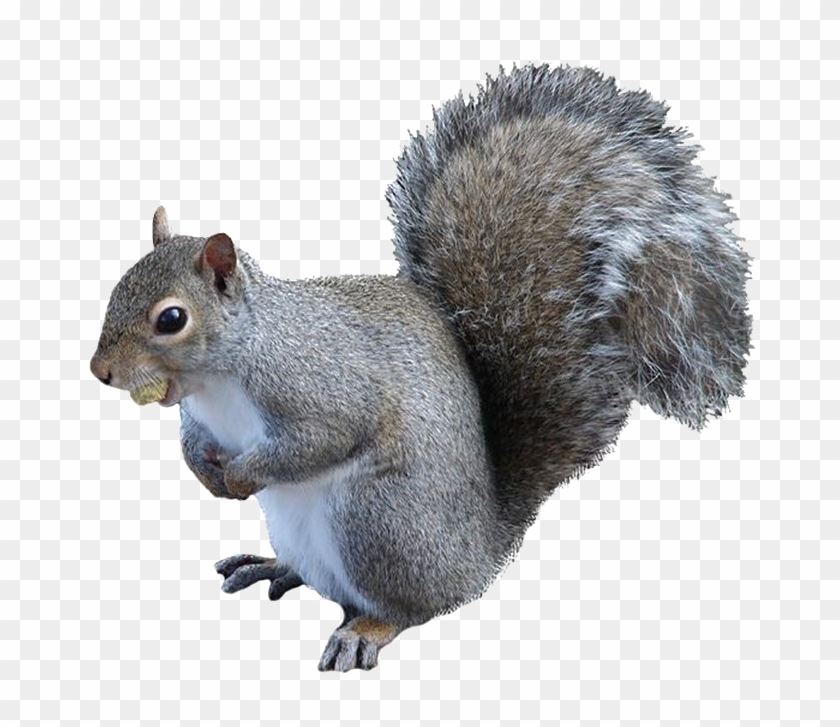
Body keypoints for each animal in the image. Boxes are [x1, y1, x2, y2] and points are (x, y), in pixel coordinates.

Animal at [90, 65, 751, 672]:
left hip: (377, 520)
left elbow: (321, 439)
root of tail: (482, 550)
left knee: (411, 608)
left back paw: (366, 628)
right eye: (117, 287)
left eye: (171, 318)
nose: (100, 371)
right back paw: (274, 567)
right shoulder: (202, 415)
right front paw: (205, 472)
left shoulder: (318, 385)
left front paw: (240, 474)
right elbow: (194, 441)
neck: (224, 373)